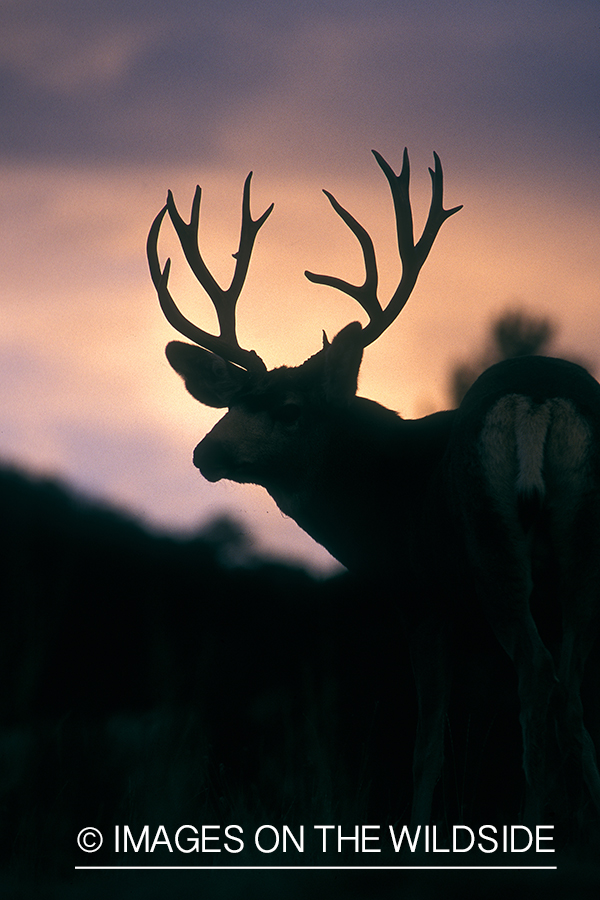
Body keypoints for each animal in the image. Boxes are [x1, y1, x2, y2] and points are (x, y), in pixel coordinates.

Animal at [147, 148, 600, 834]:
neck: (384, 495)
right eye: (232, 402)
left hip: (493, 551)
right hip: (579, 557)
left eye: (289, 409)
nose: (206, 454)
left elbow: (427, 745)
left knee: (539, 674)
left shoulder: (420, 594)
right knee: (573, 693)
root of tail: (540, 396)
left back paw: (538, 819)